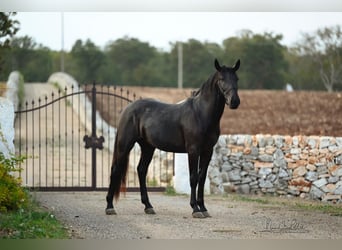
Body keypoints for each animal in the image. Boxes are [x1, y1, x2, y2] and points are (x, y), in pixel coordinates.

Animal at [105, 58, 240, 217]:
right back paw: (110, 207)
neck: (200, 113)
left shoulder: (207, 151)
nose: (234, 101)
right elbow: (193, 177)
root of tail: (128, 108)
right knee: (115, 170)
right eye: (221, 79)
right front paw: (195, 209)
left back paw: (148, 206)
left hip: (148, 147)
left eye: (236, 78)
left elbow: (201, 177)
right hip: (125, 145)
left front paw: (203, 208)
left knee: (141, 170)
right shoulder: (193, 150)